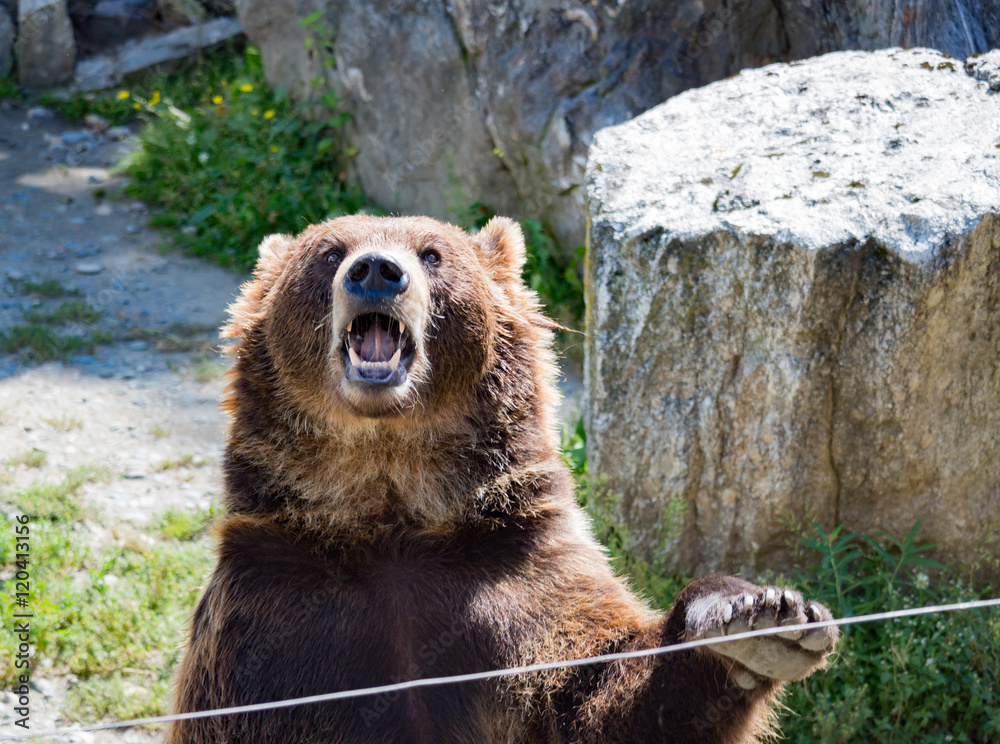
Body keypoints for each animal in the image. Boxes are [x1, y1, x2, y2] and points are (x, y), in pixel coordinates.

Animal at [168, 215, 840, 744]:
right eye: (330, 251)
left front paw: (755, 616)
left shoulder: (515, 585)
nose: (376, 269)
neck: (389, 506)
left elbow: (598, 697)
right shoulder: (273, 621)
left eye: (432, 253)